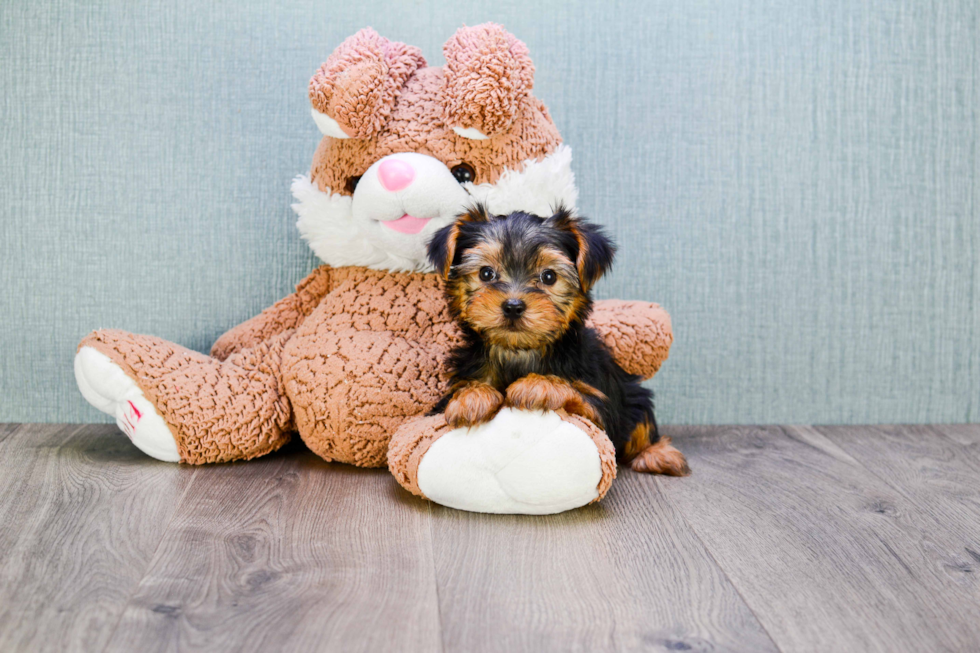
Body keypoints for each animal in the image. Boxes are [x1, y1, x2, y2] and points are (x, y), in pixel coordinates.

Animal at [426, 204, 688, 474]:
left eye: (549, 276)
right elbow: (462, 390)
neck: (518, 351)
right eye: (486, 273)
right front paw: (470, 397)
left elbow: (576, 392)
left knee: (642, 422)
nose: (513, 306)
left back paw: (657, 454)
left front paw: (537, 385)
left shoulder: (600, 405)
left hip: (633, 394)